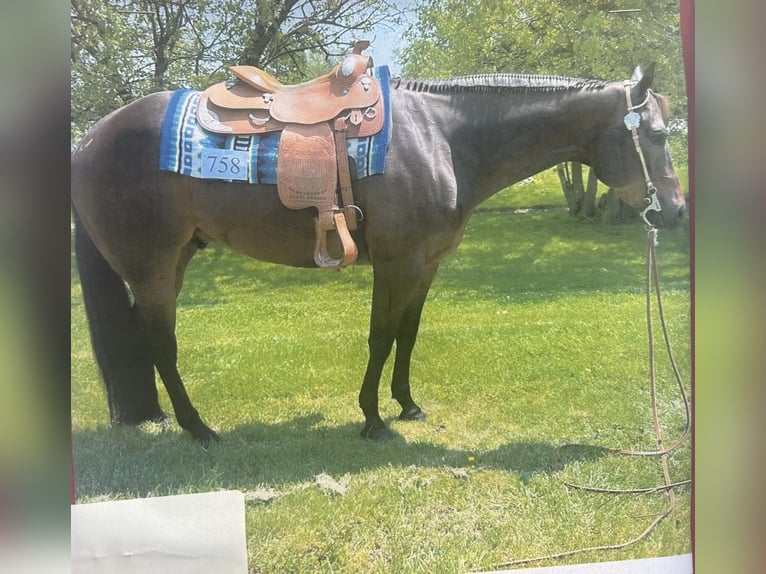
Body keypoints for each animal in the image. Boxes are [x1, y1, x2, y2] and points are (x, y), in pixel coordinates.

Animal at [70, 63, 684, 444]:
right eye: (655, 134)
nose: (676, 212)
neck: (443, 138)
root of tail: (90, 139)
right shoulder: (396, 263)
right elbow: (381, 336)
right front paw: (371, 417)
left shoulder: (425, 265)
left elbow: (407, 335)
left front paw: (407, 404)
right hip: (152, 270)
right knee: (160, 345)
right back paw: (198, 429)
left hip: (173, 261)